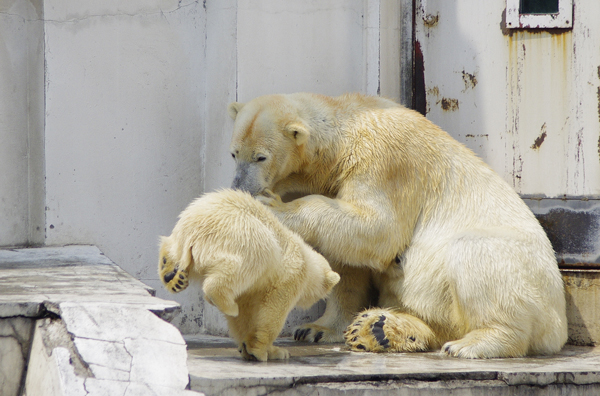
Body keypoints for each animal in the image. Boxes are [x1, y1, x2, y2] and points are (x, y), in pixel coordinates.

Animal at [225, 93, 568, 358]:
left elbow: (378, 229)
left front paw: (273, 207)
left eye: (260, 157)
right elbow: (346, 263)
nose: (239, 186)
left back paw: (472, 344)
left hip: (527, 278)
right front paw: (315, 329)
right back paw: (378, 329)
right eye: (233, 153)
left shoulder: (385, 161)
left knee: (476, 256)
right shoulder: (337, 180)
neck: (348, 128)